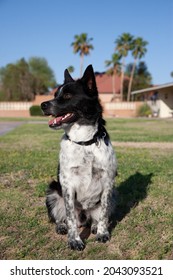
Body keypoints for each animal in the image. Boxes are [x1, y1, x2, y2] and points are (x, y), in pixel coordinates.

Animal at [41, 65, 117, 252]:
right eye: (55, 94)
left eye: (68, 96)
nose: (42, 105)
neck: (84, 142)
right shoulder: (68, 185)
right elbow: (70, 218)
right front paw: (74, 240)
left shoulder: (108, 183)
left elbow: (103, 214)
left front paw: (102, 233)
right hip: (53, 191)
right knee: (63, 218)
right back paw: (62, 226)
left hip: (113, 195)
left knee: (95, 218)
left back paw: (95, 226)